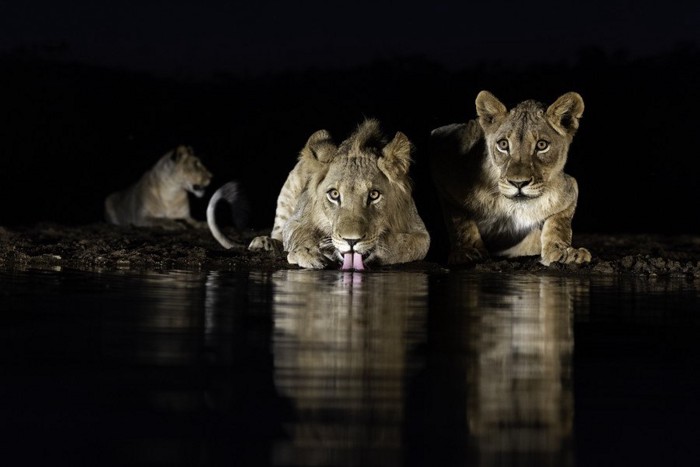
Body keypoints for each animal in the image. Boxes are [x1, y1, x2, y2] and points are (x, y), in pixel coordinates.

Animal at [246, 119, 432, 270]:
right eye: (334, 194)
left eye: (374, 195)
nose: (351, 241)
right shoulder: (297, 219)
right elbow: (297, 233)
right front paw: (308, 252)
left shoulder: (420, 232)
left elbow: (405, 245)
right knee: (278, 232)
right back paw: (265, 243)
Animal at [432, 91, 592, 266]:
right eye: (503, 144)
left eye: (542, 145)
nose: (518, 183)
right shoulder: (446, 174)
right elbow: (461, 222)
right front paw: (468, 250)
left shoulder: (570, 188)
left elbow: (559, 223)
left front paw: (563, 251)